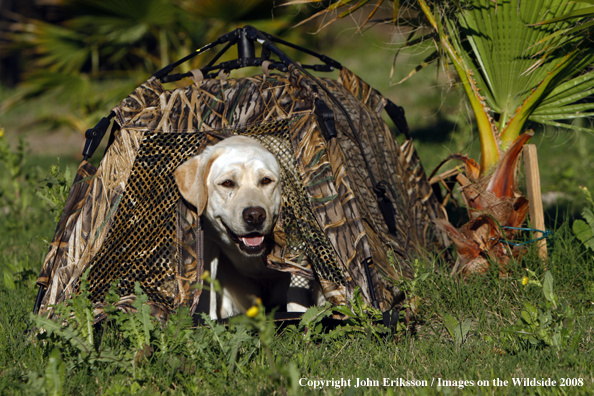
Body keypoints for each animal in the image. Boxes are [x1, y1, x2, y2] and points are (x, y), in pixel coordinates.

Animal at [172, 136, 320, 318]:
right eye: (227, 183)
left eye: (266, 180)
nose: (255, 216)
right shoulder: (207, 245)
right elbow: (207, 292)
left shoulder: (298, 250)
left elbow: (296, 293)